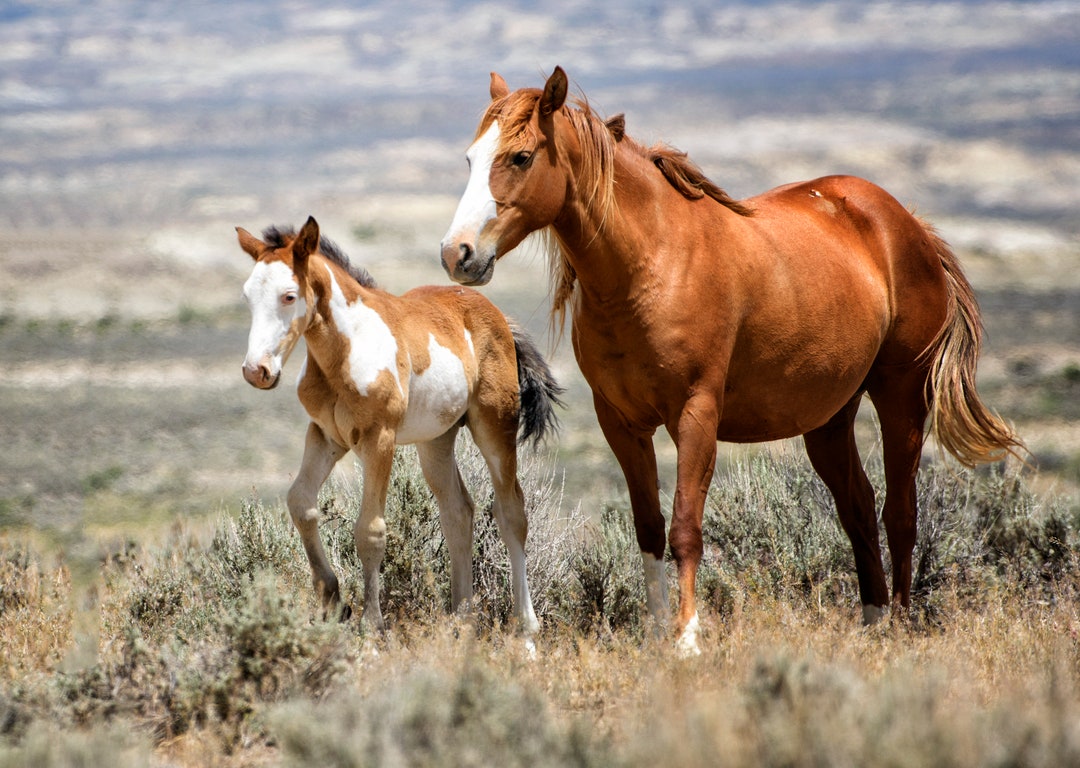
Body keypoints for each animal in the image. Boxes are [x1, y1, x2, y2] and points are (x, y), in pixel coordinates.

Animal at [239, 215, 562, 639]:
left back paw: (526, 627)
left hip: (495, 428)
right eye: (247, 296)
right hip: (436, 440)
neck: (348, 349)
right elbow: (301, 504)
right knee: (458, 511)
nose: (256, 371)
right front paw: (333, 600)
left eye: (289, 296)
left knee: (512, 513)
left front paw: (372, 623)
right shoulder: (326, 435)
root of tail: (498, 317)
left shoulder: (380, 439)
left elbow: (370, 530)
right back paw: (462, 616)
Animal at [439, 66, 1023, 654]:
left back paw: (900, 625)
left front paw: (687, 638)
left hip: (901, 397)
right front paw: (657, 632)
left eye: (520, 157)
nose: (456, 253)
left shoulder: (696, 414)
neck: (651, 263)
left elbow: (685, 527)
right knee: (857, 509)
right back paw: (873, 619)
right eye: (469, 159)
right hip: (829, 419)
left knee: (900, 512)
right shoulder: (621, 423)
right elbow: (649, 528)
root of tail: (908, 225)